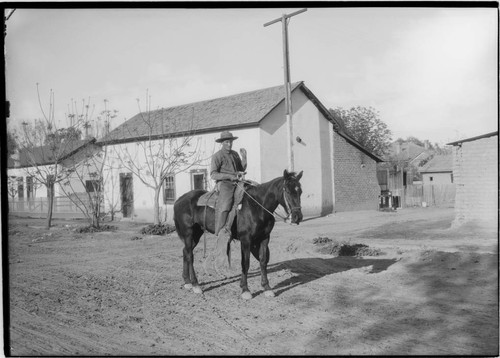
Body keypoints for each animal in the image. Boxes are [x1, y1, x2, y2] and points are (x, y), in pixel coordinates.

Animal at [174, 170, 302, 300]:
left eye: (300, 191)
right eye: (287, 191)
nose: (298, 217)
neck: (257, 207)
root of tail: (179, 200)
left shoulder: (264, 238)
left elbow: (263, 261)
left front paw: (267, 288)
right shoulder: (246, 240)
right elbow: (245, 263)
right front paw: (245, 289)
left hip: (196, 234)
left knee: (185, 252)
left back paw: (187, 282)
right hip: (188, 233)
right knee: (190, 255)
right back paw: (196, 285)